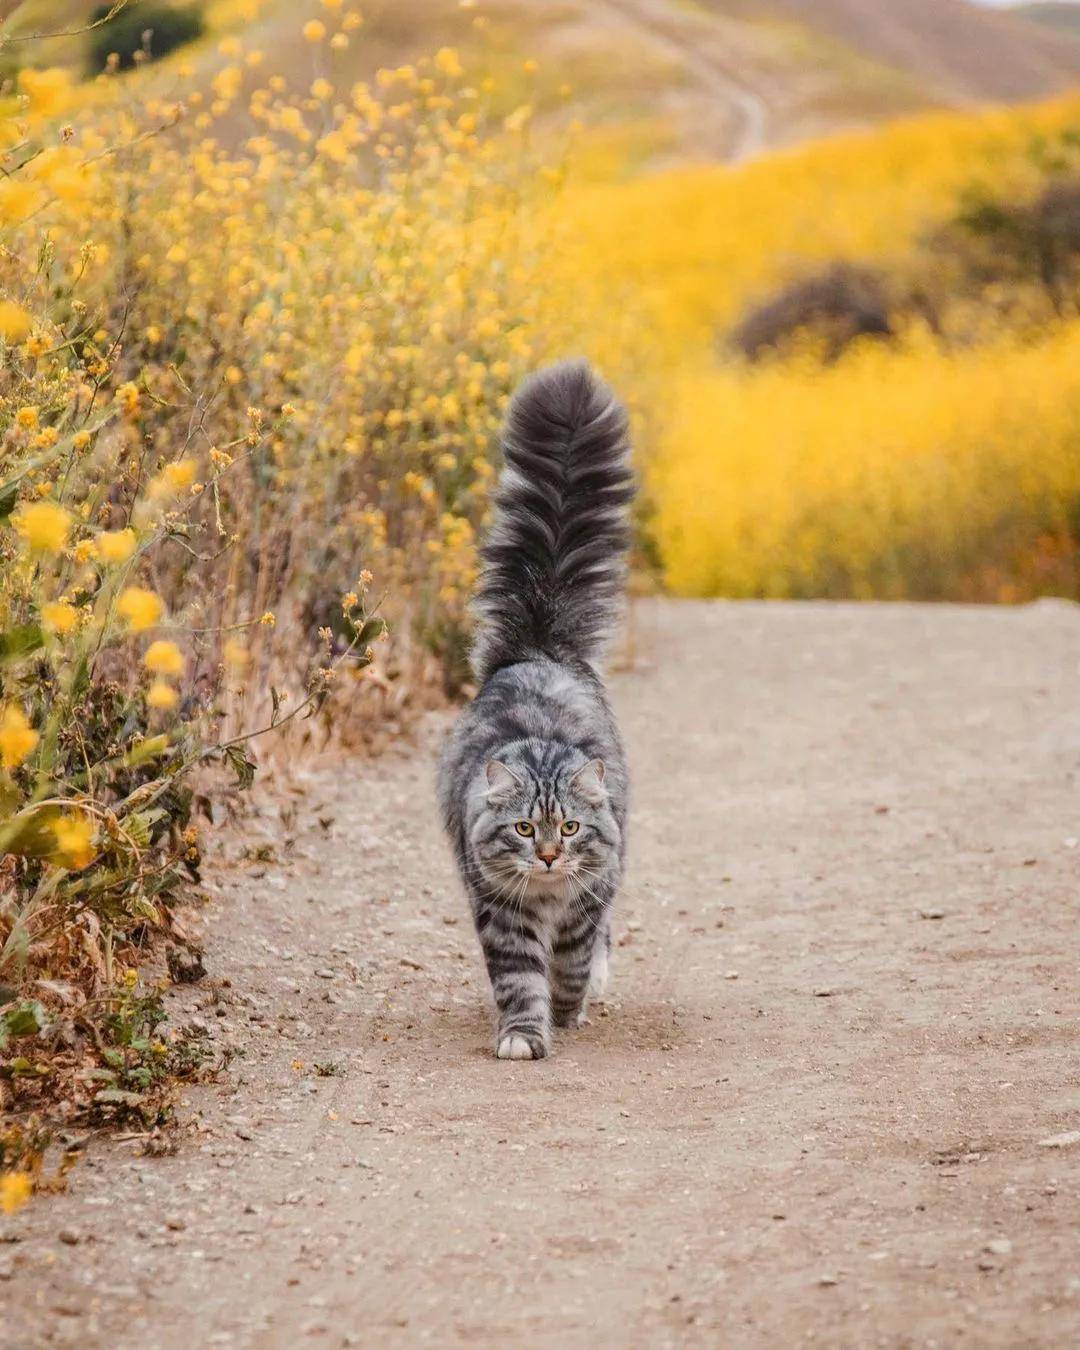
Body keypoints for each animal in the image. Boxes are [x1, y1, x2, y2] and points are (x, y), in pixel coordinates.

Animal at [434, 364, 631, 1058]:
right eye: (524, 829)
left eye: (568, 828)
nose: (547, 856)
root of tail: (540, 649)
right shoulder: (500, 911)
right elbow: (520, 977)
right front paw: (524, 1034)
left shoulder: (587, 901)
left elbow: (572, 960)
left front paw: (569, 1010)